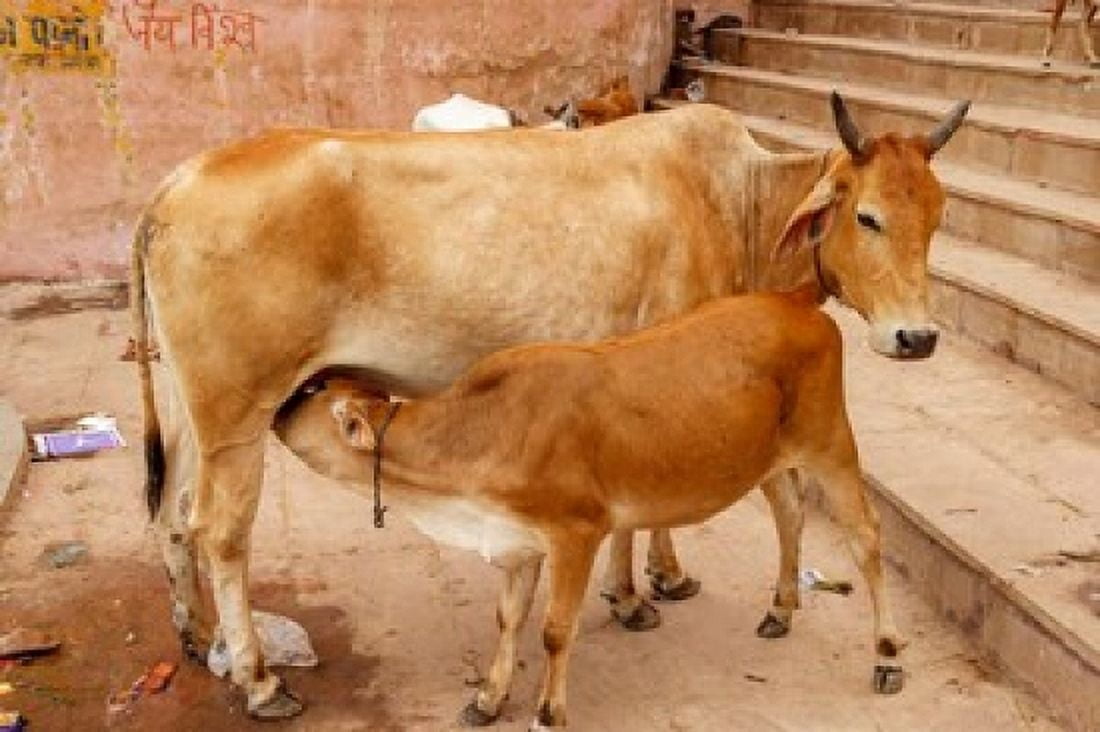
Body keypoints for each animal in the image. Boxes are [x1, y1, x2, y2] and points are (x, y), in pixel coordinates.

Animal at [270, 286, 906, 728]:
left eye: (310, 391)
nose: (273, 407)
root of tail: (797, 304)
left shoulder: (577, 532)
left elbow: (555, 630)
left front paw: (547, 713)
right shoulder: (518, 540)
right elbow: (507, 618)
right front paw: (488, 698)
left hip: (831, 444)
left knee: (867, 538)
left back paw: (887, 657)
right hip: (768, 460)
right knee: (790, 513)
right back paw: (780, 609)